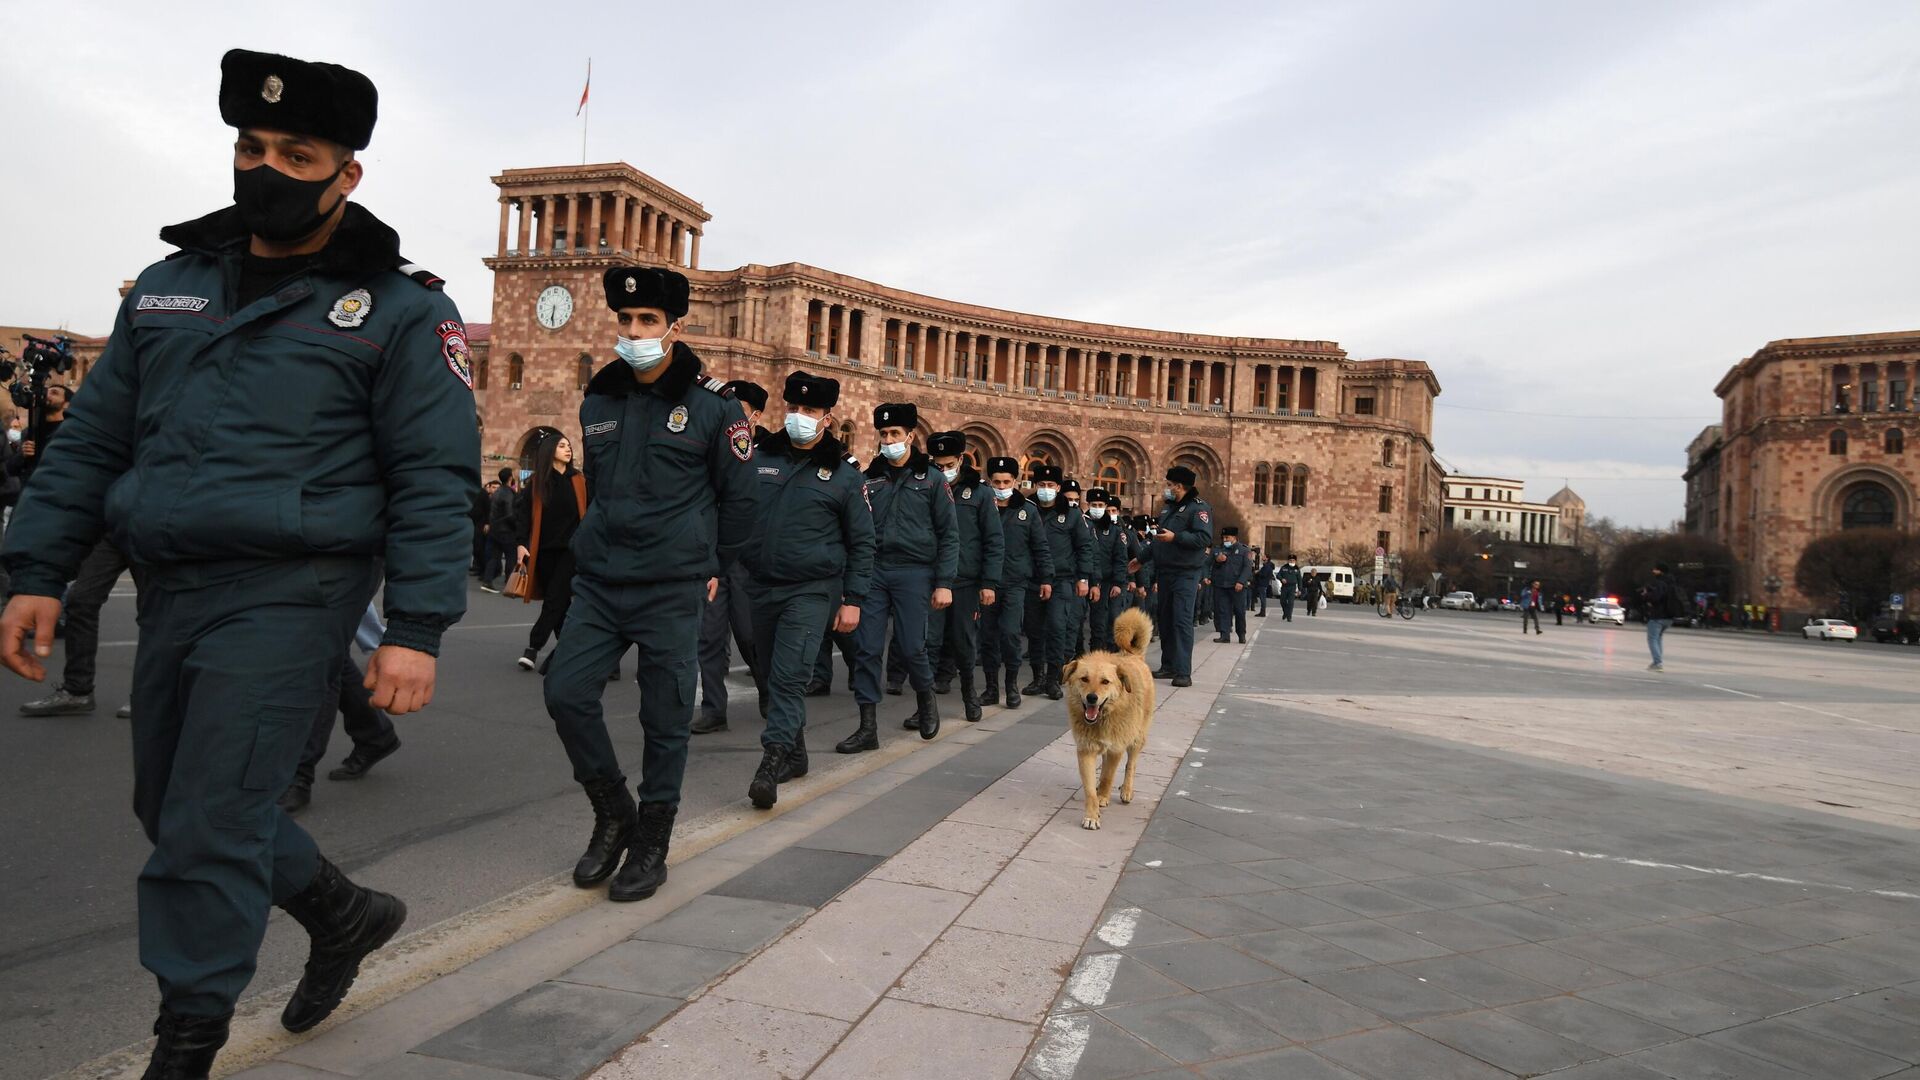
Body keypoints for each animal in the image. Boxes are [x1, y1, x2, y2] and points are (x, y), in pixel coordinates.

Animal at [1067, 611, 1152, 826]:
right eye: (1084, 679)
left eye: (1105, 681)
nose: (1092, 698)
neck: (1103, 719)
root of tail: (1133, 655)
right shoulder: (1085, 750)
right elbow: (1090, 789)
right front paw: (1091, 815)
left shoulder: (1116, 749)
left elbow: (1108, 776)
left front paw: (1103, 797)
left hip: (1137, 737)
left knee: (1131, 764)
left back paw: (1126, 790)